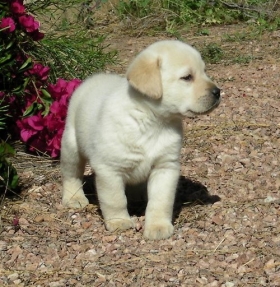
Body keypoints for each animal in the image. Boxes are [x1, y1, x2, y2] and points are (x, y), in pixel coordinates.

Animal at [61, 40, 221, 241]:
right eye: (187, 77)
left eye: (204, 71)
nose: (218, 92)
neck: (152, 119)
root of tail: (95, 78)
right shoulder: (109, 169)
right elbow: (115, 199)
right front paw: (119, 221)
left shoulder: (165, 167)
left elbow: (161, 201)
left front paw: (158, 226)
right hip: (71, 146)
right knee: (71, 174)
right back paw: (73, 198)